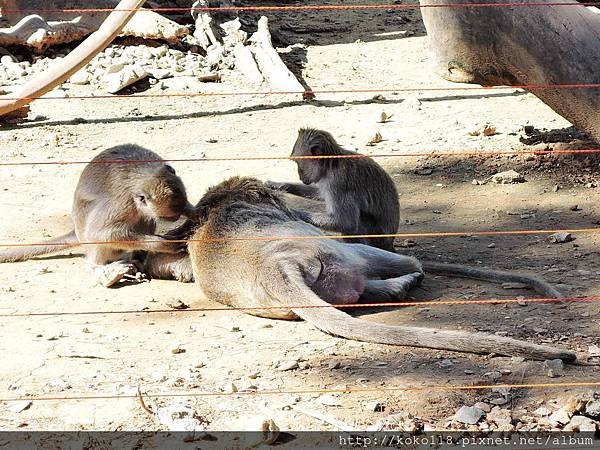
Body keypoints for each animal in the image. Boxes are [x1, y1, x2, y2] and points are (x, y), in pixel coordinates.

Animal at [0, 142, 192, 286]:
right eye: (169, 217)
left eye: (178, 211)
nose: (176, 217)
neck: (144, 172)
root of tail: (76, 229)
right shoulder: (122, 202)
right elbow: (100, 233)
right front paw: (164, 244)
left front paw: (192, 214)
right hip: (86, 227)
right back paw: (101, 272)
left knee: (145, 220)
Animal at [171, 176, 576, 362]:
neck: (216, 209)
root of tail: (276, 267)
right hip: (336, 253)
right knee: (390, 260)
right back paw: (410, 275)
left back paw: (396, 287)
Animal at [268, 129, 564, 298]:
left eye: (298, 163)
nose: (300, 175)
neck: (331, 164)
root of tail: (390, 243)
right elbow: (319, 195)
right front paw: (279, 185)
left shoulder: (340, 182)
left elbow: (345, 220)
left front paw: (295, 212)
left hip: (372, 237)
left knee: (357, 223)